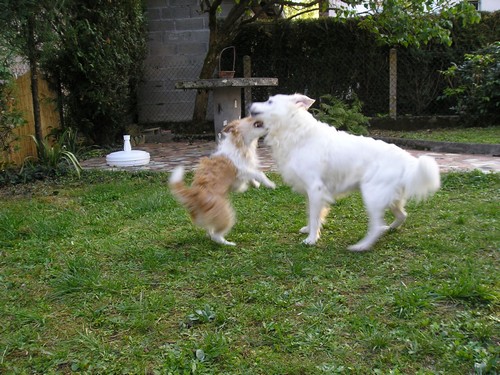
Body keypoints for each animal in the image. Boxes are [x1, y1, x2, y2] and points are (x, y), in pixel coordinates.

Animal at [170, 117, 276, 247]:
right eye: (251, 120)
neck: (240, 144)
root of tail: (193, 195)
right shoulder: (241, 169)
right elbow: (259, 173)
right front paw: (269, 184)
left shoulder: (239, 178)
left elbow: (250, 178)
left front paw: (255, 184)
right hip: (225, 214)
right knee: (217, 236)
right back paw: (228, 244)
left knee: (211, 231)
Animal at [250, 94, 442, 253]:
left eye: (270, 101)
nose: (250, 105)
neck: (296, 131)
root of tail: (407, 160)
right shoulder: (310, 192)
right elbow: (311, 214)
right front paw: (309, 230)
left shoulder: (315, 189)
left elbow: (314, 216)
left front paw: (312, 239)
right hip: (390, 198)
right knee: (402, 216)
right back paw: (390, 229)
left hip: (372, 196)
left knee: (376, 226)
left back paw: (361, 246)